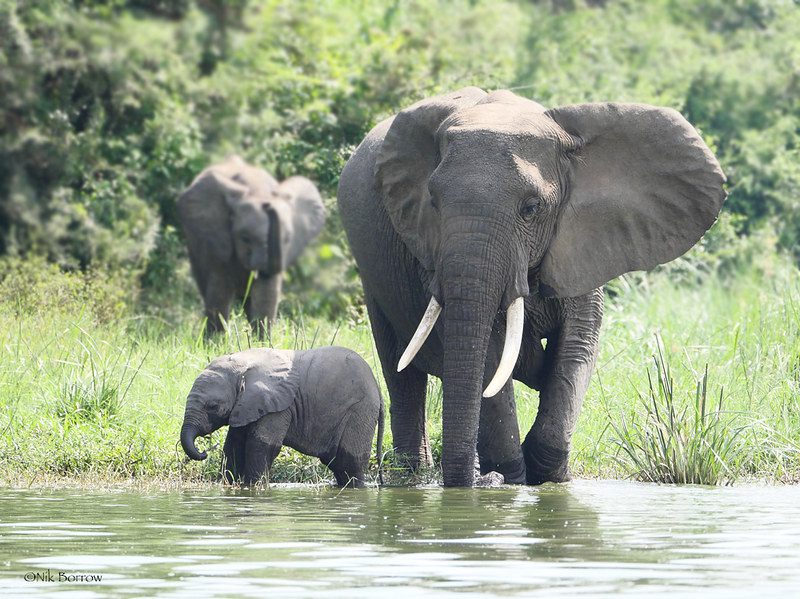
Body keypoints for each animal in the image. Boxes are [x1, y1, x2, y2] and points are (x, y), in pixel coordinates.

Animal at [177, 156, 326, 335]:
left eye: (287, 239)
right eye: (245, 238)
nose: (268, 205)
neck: (257, 189)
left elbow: (265, 295)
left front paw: (262, 341)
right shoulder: (218, 241)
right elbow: (220, 291)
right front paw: (214, 341)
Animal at [180, 346, 384, 487]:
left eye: (212, 406)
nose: (204, 452)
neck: (245, 363)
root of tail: (378, 389)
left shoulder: (278, 406)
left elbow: (262, 444)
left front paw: (253, 487)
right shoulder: (247, 406)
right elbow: (234, 444)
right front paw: (231, 484)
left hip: (360, 410)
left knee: (350, 462)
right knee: (338, 464)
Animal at [337, 87, 726, 487]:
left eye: (531, 207)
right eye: (433, 201)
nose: (479, 482)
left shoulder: (581, 241)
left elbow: (577, 345)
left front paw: (548, 474)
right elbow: (492, 356)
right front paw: (510, 476)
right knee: (400, 366)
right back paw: (413, 472)